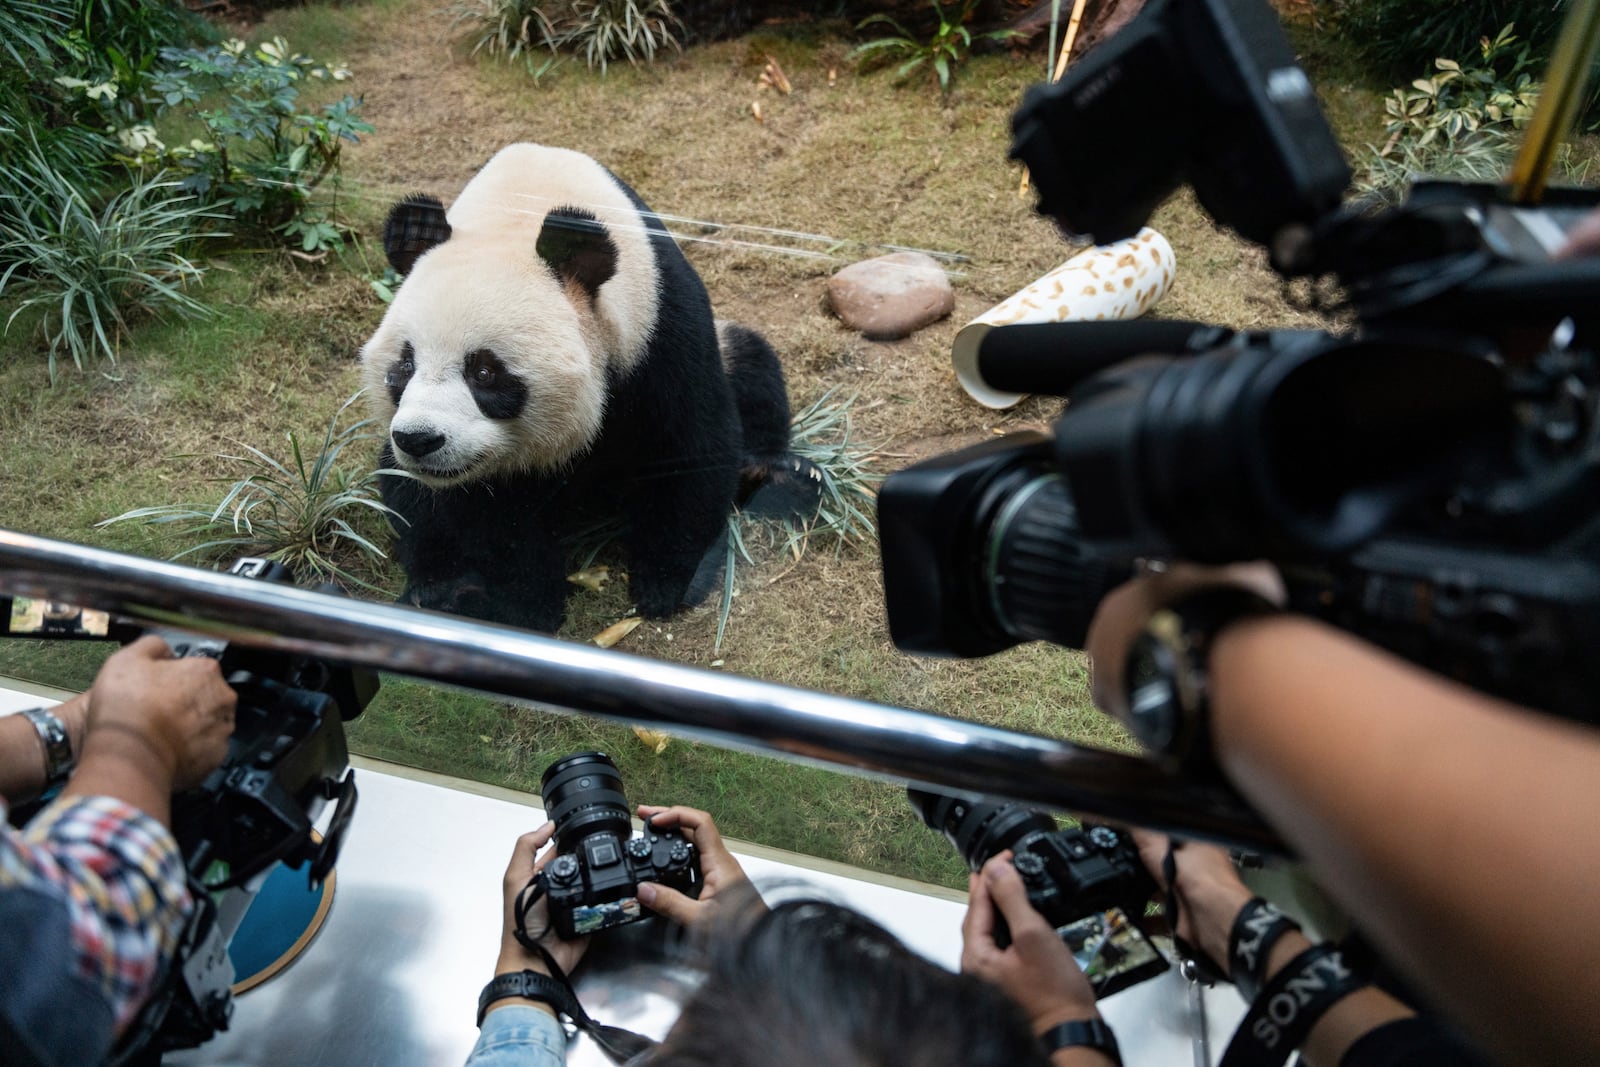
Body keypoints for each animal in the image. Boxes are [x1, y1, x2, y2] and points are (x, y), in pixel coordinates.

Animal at [358, 141, 819, 630]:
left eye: (484, 372)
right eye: (405, 366)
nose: (420, 439)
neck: (519, 210)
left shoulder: (659, 325)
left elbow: (689, 445)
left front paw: (667, 584)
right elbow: (485, 516)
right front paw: (519, 604)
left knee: (751, 364)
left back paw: (780, 476)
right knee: (406, 494)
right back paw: (438, 593)